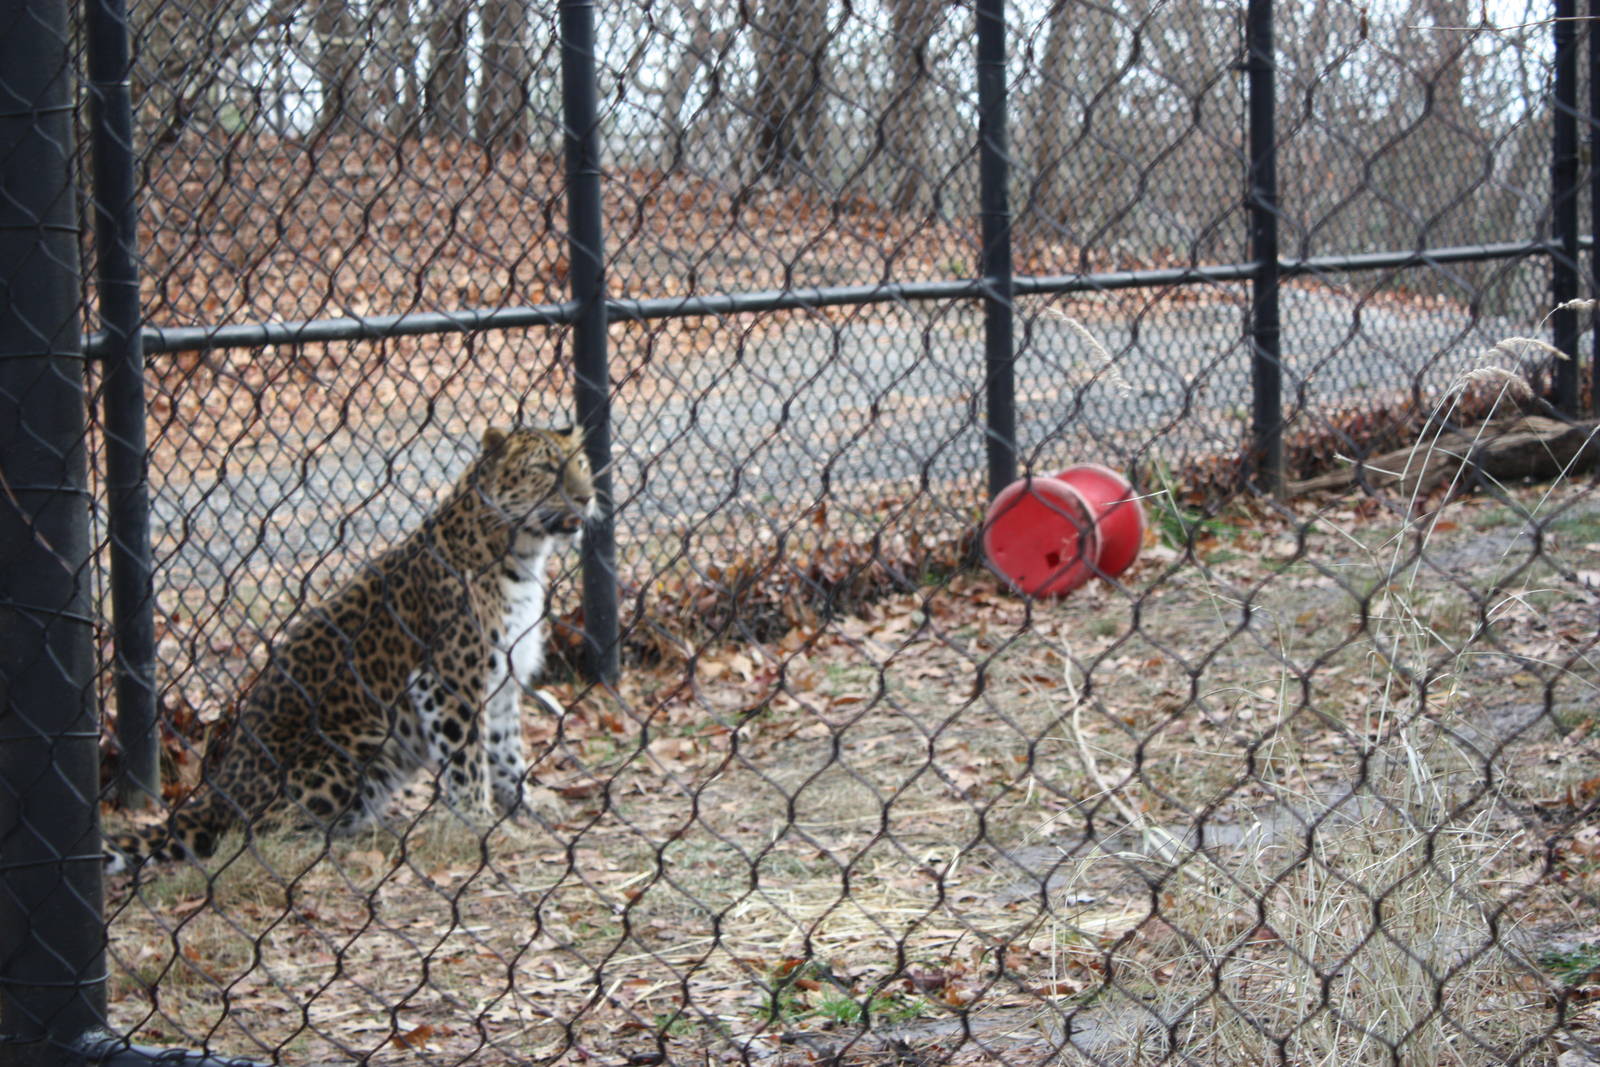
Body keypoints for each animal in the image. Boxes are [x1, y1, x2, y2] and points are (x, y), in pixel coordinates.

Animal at [105, 424, 597, 874]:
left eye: (582, 464)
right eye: (545, 469)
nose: (587, 498)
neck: (523, 553)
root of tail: (220, 794)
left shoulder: (502, 679)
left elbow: (506, 750)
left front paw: (526, 806)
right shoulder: (447, 678)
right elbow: (467, 758)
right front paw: (479, 820)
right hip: (361, 744)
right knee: (252, 833)